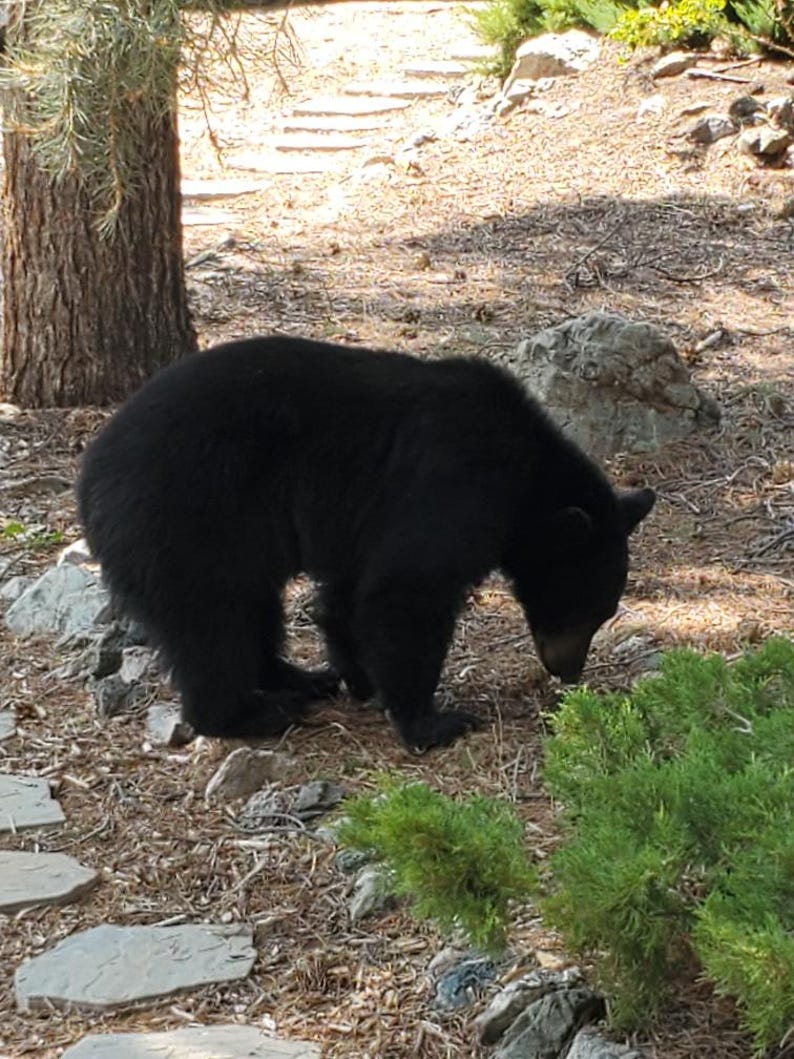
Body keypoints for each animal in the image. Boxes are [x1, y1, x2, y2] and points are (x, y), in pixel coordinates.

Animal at [77, 334, 655, 752]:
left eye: (604, 612)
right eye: (581, 609)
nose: (569, 671)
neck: (527, 479)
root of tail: (89, 482)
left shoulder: (362, 524)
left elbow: (349, 598)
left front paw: (360, 677)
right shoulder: (455, 484)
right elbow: (406, 592)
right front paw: (431, 721)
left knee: (252, 608)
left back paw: (300, 678)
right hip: (190, 516)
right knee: (213, 622)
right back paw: (252, 712)